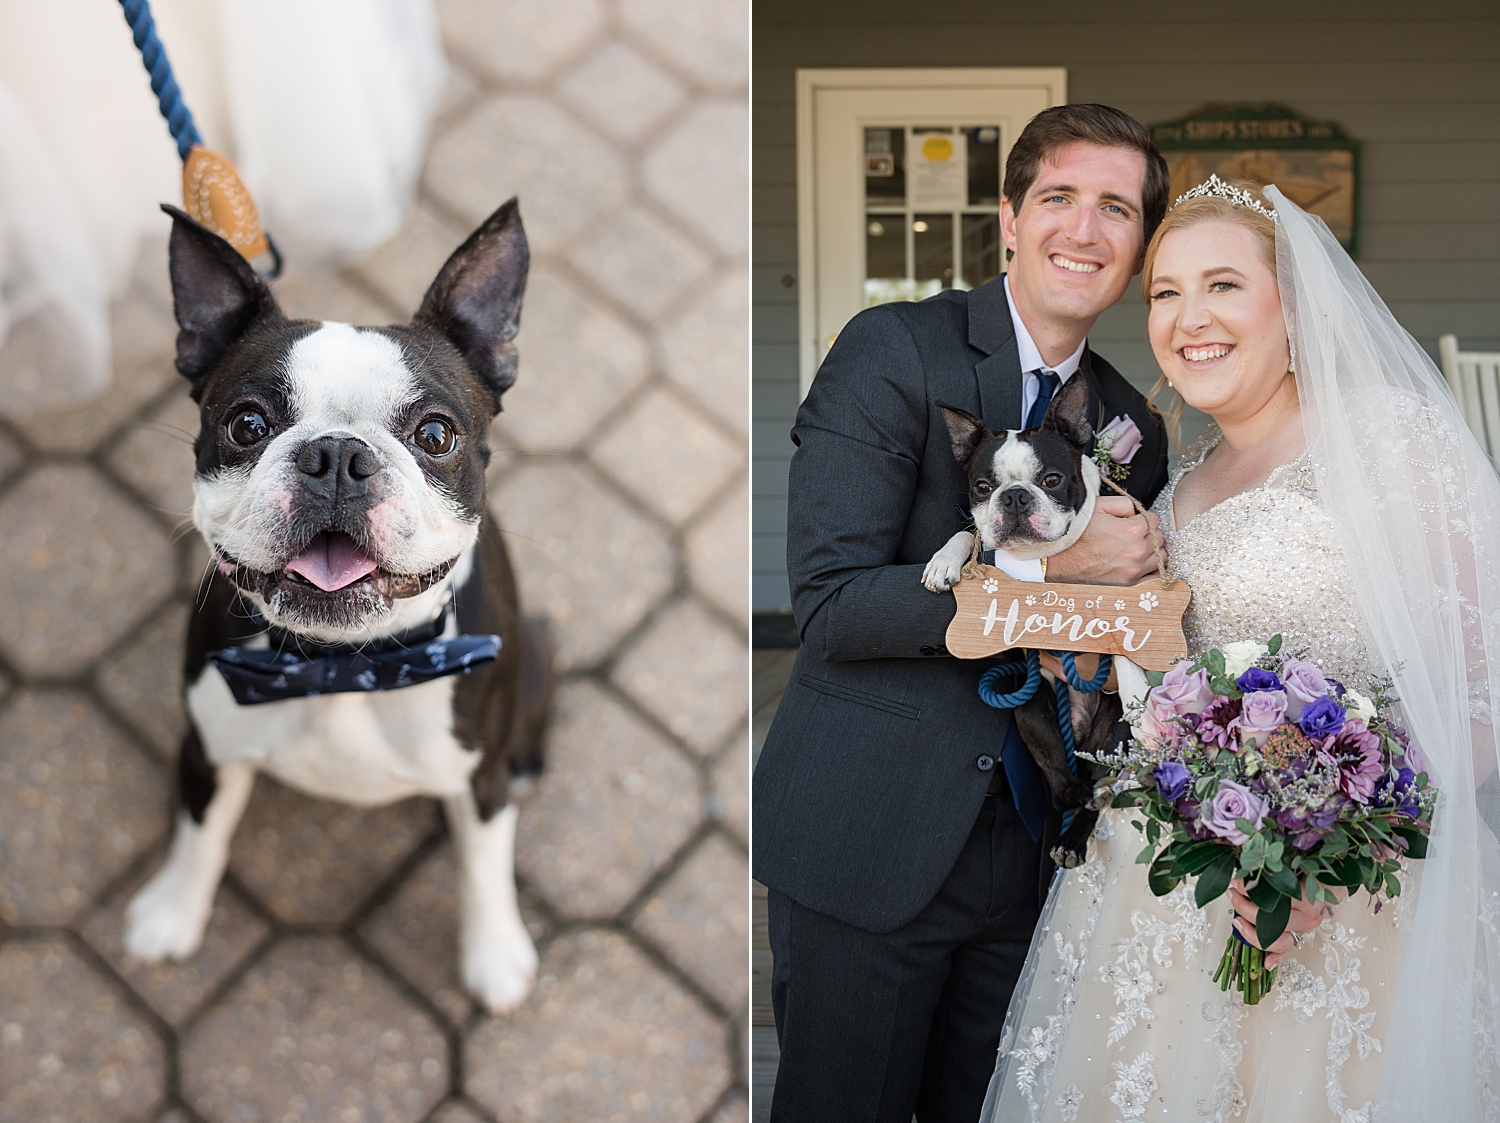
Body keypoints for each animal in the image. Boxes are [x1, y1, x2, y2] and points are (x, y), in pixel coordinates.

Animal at [126, 196, 555, 1013]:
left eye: (436, 434)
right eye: (247, 424)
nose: (335, 455)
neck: (340, 666)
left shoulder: (478, 777)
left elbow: (484, 862)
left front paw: (494, 956)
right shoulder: (208, 748)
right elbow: (201, 833)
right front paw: (172, 912)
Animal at [924, 371, 1128, 863]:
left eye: (1052, 480)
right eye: (983, 487)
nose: (1014, 497)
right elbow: (971, 534)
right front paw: (945, 561)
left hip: (1116, 730)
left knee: (1098, 785)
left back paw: (1083, 823)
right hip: (1031, 711)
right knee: (1063, 787)